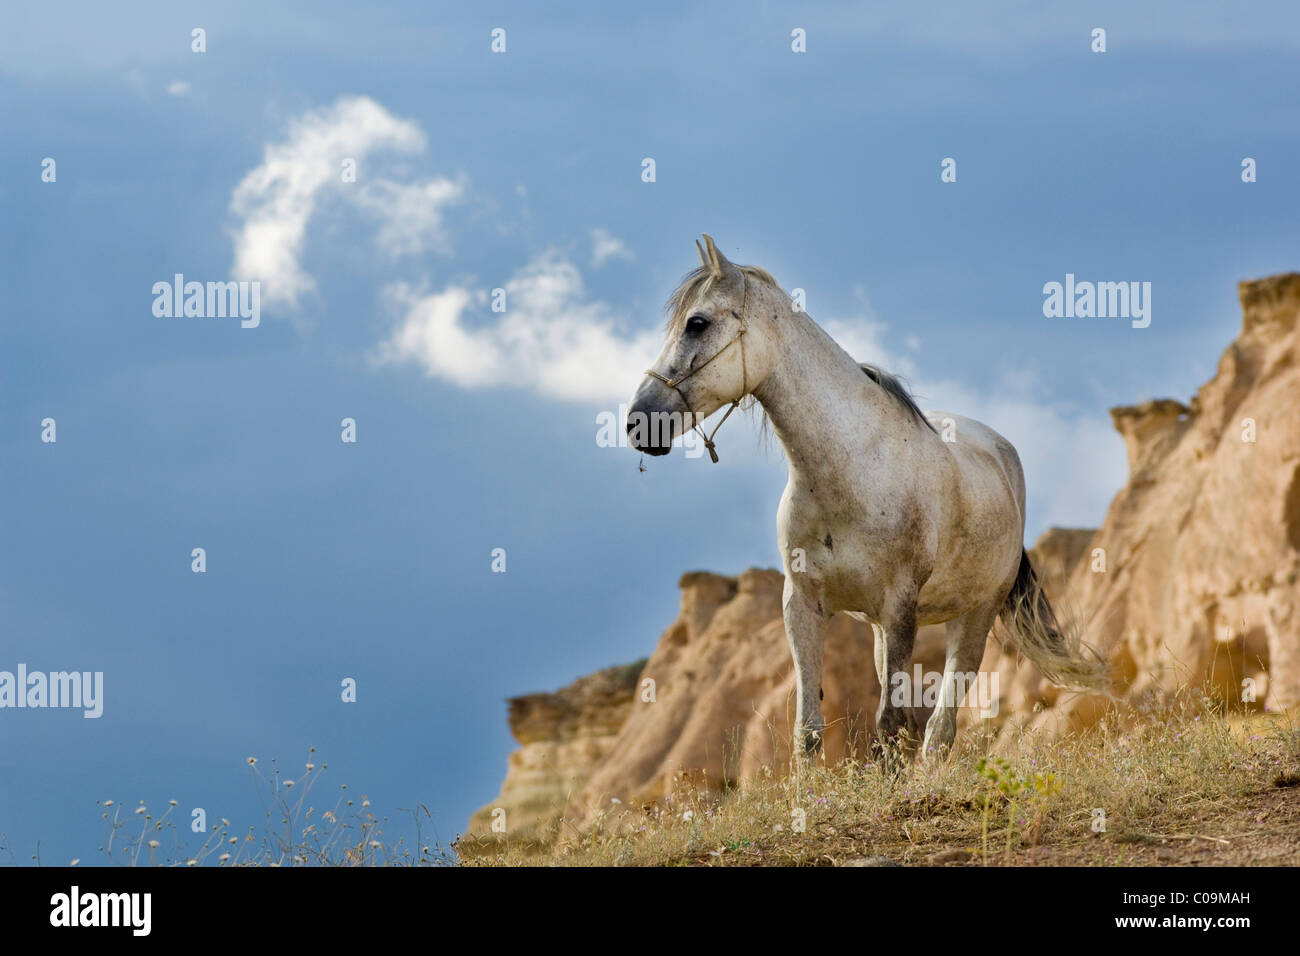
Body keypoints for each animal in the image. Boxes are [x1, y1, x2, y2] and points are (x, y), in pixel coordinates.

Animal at [629, 234, 1107, 764]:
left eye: (697, 323)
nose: (637, 421)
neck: (851, 469)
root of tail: (1003, 454)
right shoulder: (804, 606)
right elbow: (809, 730)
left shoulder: (900, 608)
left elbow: (890, 727)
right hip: (882, 629)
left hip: (972, 619)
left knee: (940, 730)